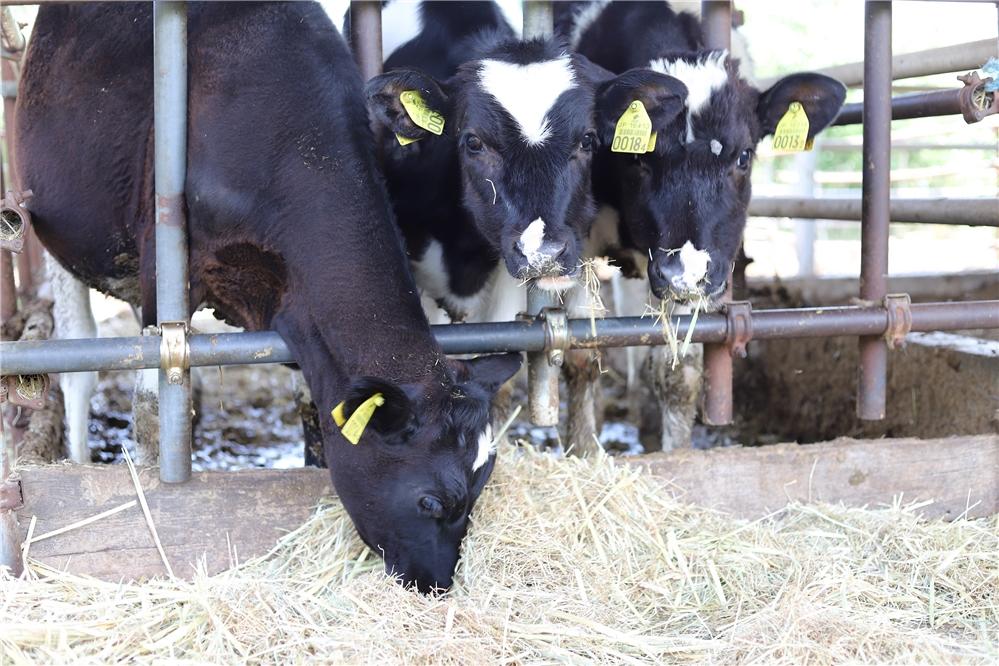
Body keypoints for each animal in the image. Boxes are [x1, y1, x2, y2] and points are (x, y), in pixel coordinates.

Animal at [17, 0, 524, 592]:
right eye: (431, 501)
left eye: (480, 489)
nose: (438, 584)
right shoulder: (162, 268)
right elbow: (152, 404)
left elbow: (314, 406)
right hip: (55, 233)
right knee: (79, 361)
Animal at [560, 0, 848, 448]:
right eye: (638, 157)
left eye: (744, 156)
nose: (685, 272)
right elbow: (582, 353)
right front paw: (585, 451)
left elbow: (678, 373)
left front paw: (674, 451)